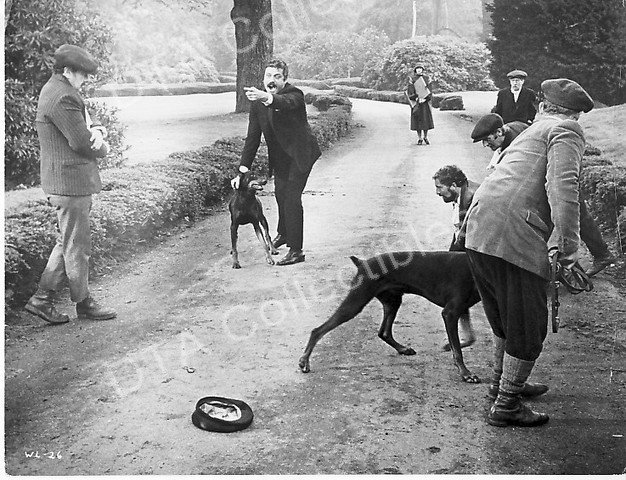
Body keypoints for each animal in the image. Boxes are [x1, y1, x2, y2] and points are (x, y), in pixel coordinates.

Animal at [296, 251, 478, 382]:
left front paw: (449, 346)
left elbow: (470, 338)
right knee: (318, 330)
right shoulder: (450, 312)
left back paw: (403, 349)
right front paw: (466, 373)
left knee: (383, 332)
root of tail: (362, 263)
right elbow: (458, 350)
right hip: (357, 301)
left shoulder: (462, 310)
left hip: (392, 301)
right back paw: (304, 361)